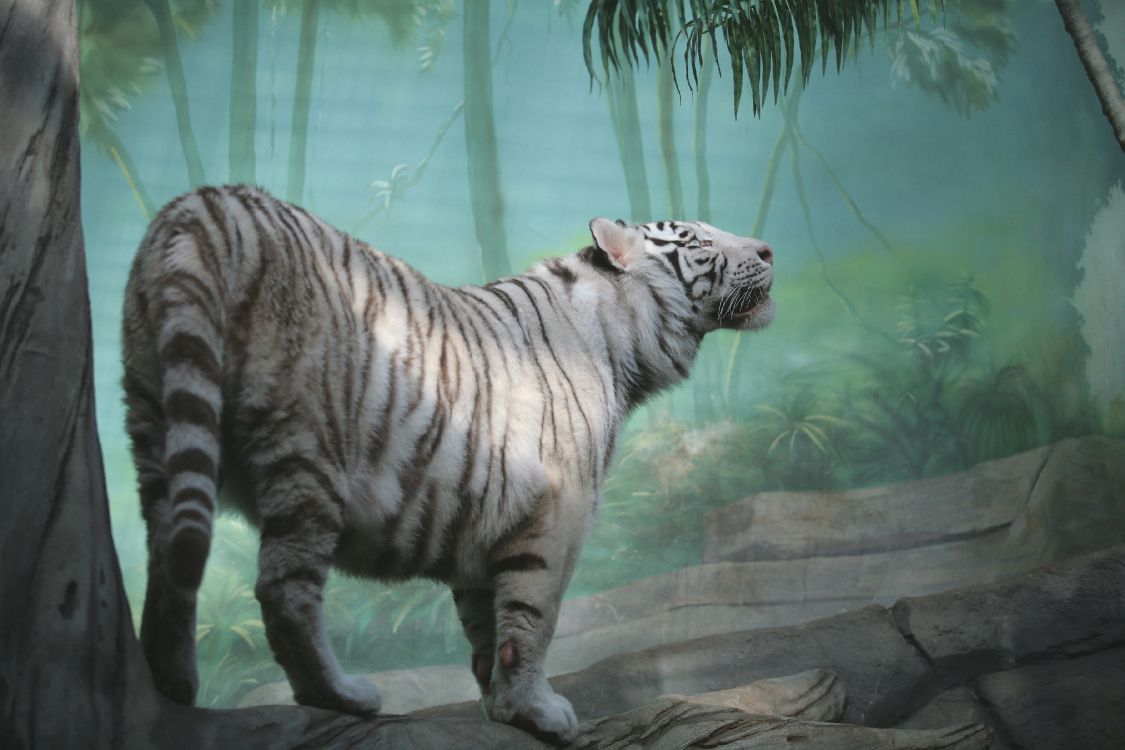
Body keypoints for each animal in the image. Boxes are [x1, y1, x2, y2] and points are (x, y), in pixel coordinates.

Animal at [122, 184, 774, 744]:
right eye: (695, 240)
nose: (768, 250)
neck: (622, 342)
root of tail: (206, 203)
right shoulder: (558, 511)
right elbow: (534, 618)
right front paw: (540, 713)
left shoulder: (487, 517)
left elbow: (485, 625)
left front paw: (501, 707)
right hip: (308, 445)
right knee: (283, 590)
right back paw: (342, 695)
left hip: (154, 423)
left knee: (168, 558)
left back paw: (173, 680)